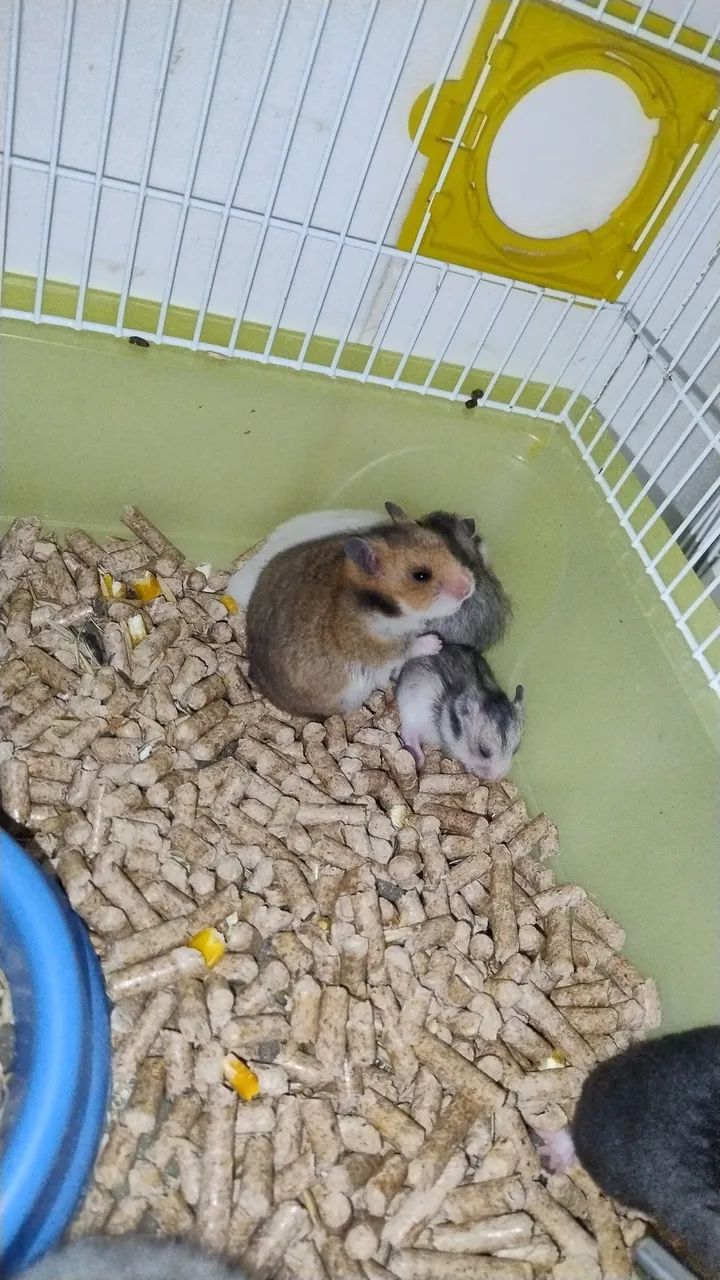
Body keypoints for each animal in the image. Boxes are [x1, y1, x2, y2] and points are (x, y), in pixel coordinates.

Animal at [246, 515, 474, 717]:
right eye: (421, 576)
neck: (378, 604)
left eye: (446, 546)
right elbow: (407, 647)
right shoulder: (377, 647)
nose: (469, 588)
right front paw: (436, 643)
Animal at [394, 642, 524, 780]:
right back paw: (419, 760)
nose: (496, 778)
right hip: (409, 707)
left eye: (516, 750)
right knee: (409, 734)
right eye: (483, 751)